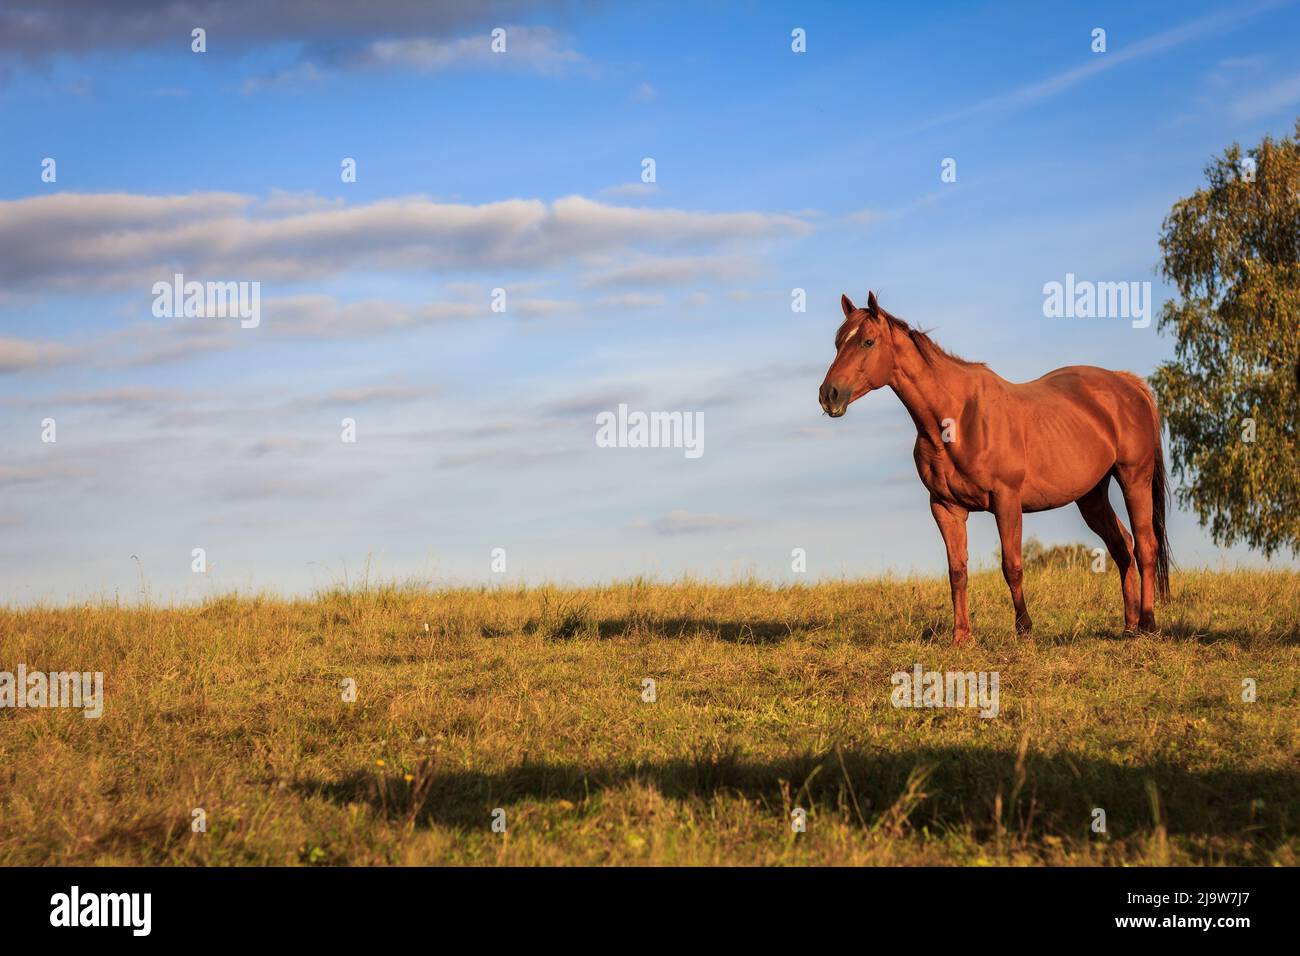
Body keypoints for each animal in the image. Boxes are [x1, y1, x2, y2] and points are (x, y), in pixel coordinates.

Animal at [818, 291, 1170, 644]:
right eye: (837, 342)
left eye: (868, 341)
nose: (828, 395)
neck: (957, 419)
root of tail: (1127, 383)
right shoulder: (945, 507)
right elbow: (957, 572)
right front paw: (961, 637)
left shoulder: (1006, 500)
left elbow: (1012, 566)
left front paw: (1024, 629)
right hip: (1091, 496)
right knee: (1122, 546)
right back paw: (1130, 626)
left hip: (1134, 479)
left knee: (1145, 547)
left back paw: (1149, 624)